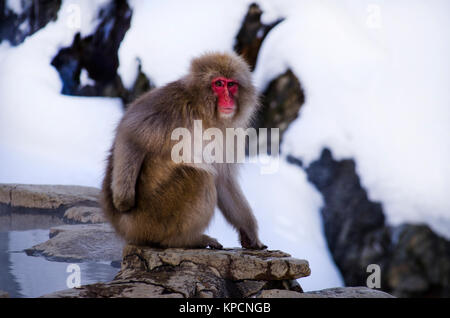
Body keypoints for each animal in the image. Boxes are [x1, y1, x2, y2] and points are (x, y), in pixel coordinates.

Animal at [100, 52, 266, 250]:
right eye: (218, 84)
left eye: (231, 84)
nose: (228, 98)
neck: (205, 114)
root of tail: (124, 228)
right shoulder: (171, 105)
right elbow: (130, 132)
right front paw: (123, 201)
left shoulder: (228, 133)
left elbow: (223, 180)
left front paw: (249, 231)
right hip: (151, 217)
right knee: (200, 176)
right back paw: (184, 240)